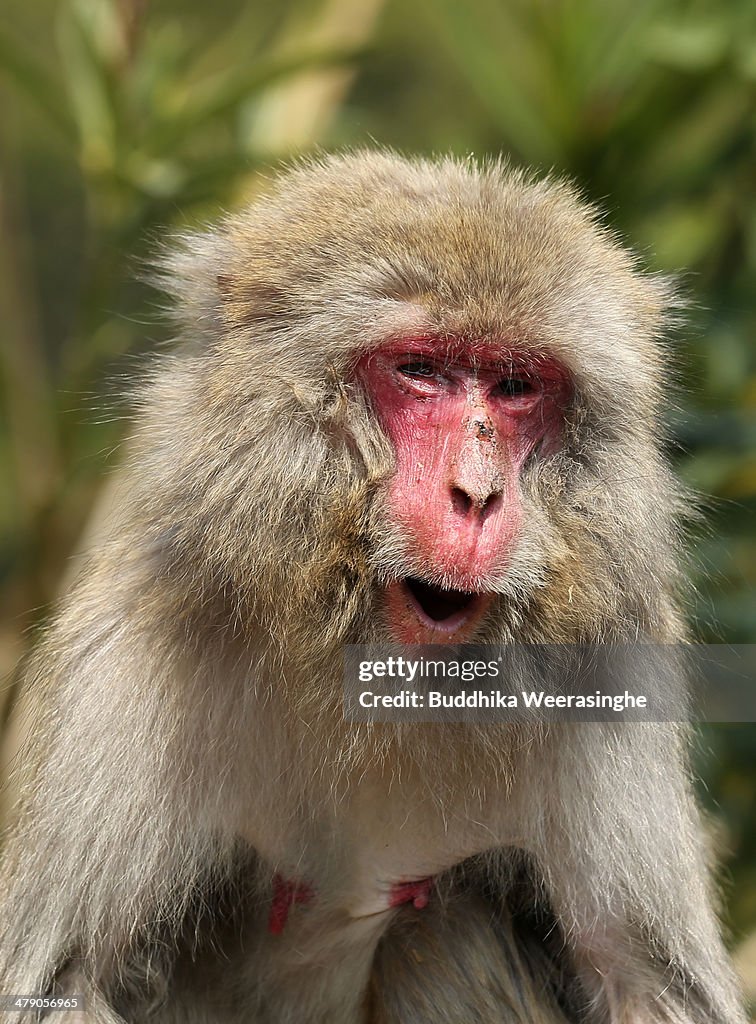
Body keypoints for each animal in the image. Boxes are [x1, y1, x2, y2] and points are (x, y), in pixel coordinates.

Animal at [0, 153, 745, 1024]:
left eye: (516, 386)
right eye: (419, 371)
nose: (477, 495)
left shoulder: (616, 669)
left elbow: (651, 984)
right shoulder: (129, 651)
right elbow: (61, 980)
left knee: (441, 929)